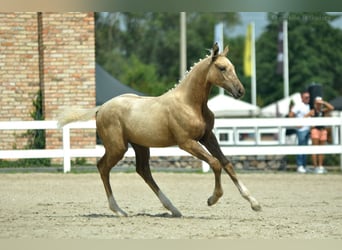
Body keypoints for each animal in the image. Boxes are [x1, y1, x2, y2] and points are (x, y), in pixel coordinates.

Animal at [59, 43, 262, 217]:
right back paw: (119, 210)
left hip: (140, 146)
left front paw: (254, 203)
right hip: (118, 147)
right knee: (103, 167)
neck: (190, 103)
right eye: (221, 68)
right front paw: (213, 199)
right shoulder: (186, 143)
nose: (240, 91)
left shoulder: (208, 137)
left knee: (143, 171)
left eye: (233, 67)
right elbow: (215, 163)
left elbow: (227, 163)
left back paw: (173, 209)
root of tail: (101, 108)